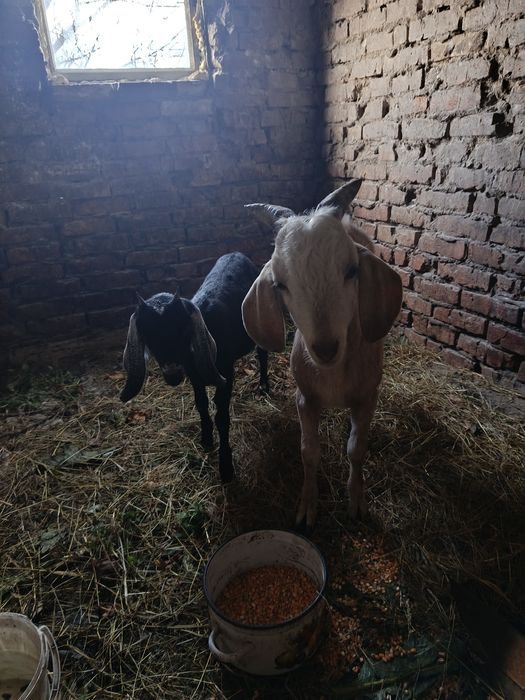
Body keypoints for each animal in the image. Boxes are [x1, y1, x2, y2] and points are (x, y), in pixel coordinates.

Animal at [120, 252, 269, 483]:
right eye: (148, 338)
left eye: (183, 333)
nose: (172, 375)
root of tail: (236, 253)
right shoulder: (192, 374)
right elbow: (201, 403)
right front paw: (206, 438)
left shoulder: (225, 373)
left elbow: (222, 416)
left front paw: (226, 467)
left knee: (262, 353)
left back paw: (263, 386)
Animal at [242, 180, 402, 530]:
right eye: (280, 284)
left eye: (353, 270)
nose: (326, 348)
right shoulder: (305, 398)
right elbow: (309, 452)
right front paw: (307, 507)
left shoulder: (368, 396)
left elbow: (356, 449)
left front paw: (356, 501)